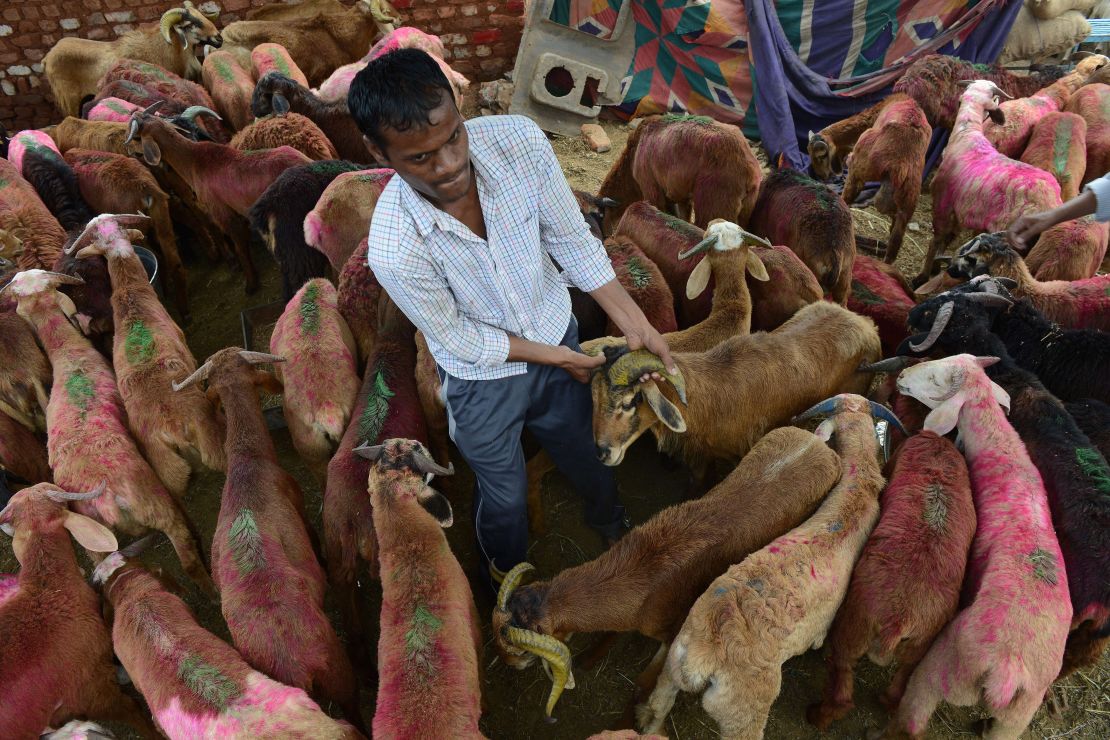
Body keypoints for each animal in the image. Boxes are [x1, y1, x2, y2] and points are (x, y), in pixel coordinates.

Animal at [879, 355, 1070, 736]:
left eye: (936, 379)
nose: (903, 375)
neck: (1005, 454)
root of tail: (1006, 673)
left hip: (942, 667)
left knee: (913, 713)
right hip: (1018, 715)